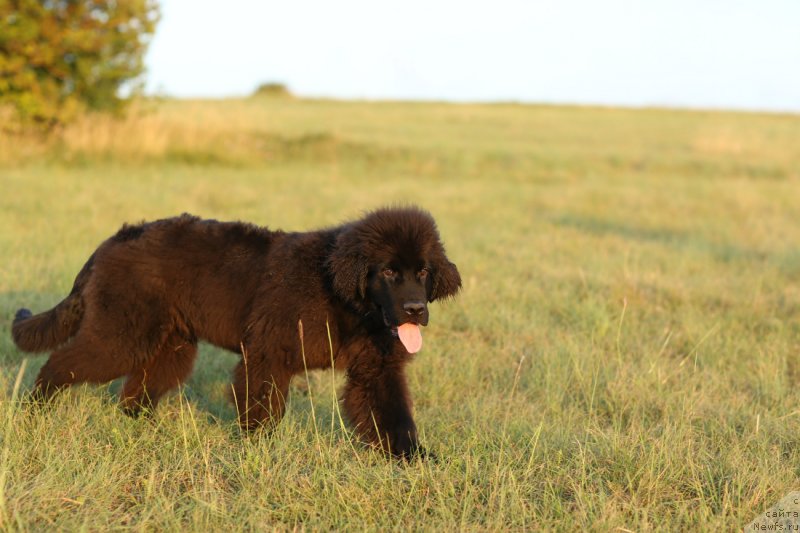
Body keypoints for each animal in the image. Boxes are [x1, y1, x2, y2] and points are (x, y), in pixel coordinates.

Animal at [12, 206, 460, 456]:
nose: (416, 310)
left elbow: (394, 415)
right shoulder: (267, 352)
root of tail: (111, 241)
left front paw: (413, 459)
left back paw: (143, 431)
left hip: (171, 345)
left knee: (137, 391)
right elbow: (261, 408)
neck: (343, 296)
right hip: (121, 335)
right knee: (61, 363)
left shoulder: (376, 368)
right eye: (388, 271)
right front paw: (261, 452)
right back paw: (33, 409)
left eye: (423, 271)